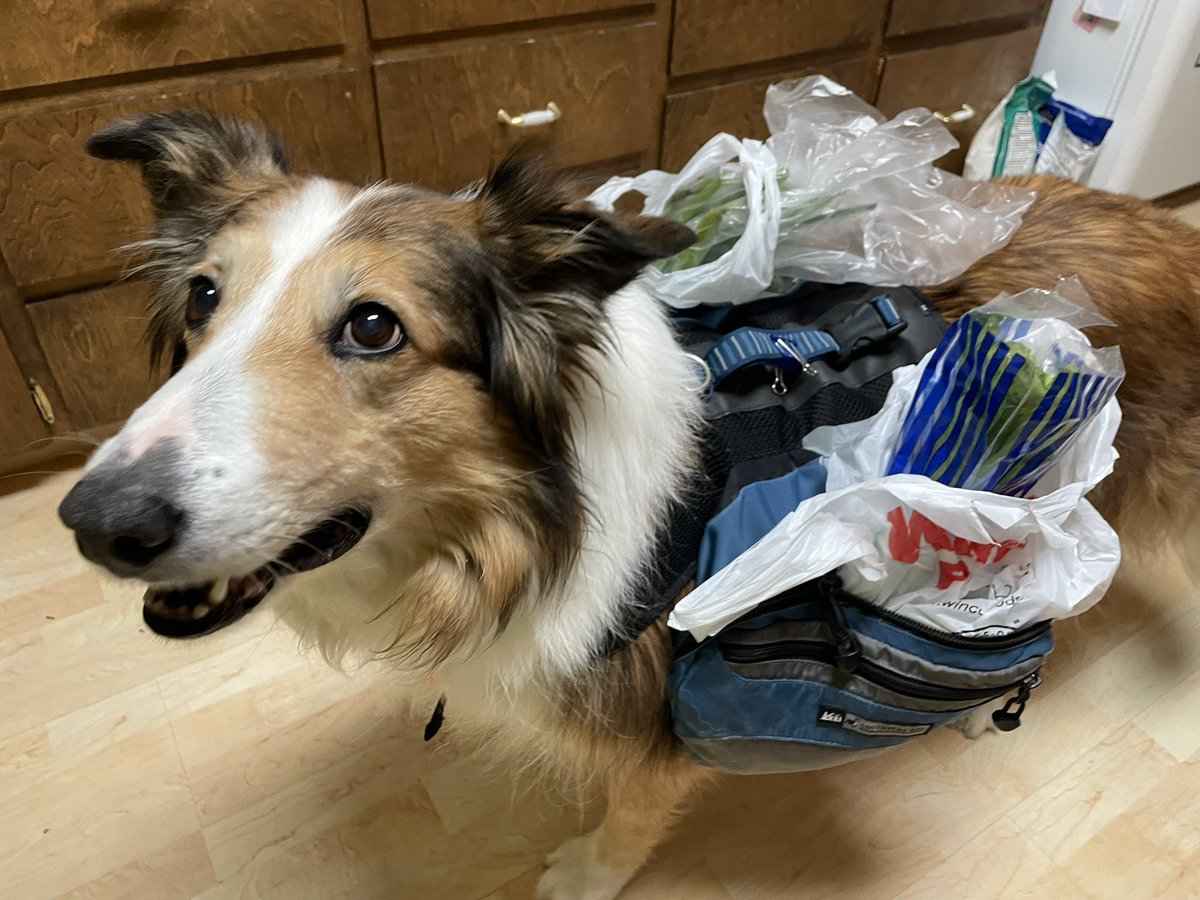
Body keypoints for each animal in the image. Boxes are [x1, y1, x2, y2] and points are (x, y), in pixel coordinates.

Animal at [60, 109, 1200, 897]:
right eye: (205, 296)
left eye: (374, 327)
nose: (96, 524)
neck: (522, 529)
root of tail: (1162, 222)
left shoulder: (652, 719)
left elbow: (630, 810)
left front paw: (581, 875)